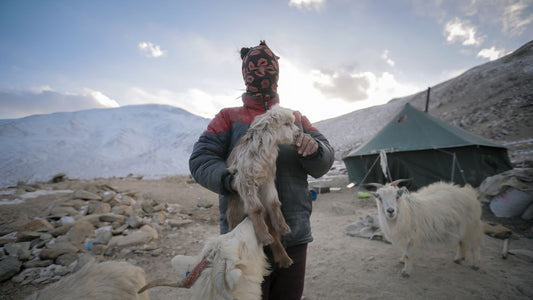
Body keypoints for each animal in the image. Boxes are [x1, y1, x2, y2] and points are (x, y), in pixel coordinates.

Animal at [225, 105, 302, 268]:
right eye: (286, 124)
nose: (299, 133)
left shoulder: (268, 180)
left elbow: (273, 202)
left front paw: (283, 227)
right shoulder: (245, 181)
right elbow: (256, 208)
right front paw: (263, 236)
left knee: (275, 237)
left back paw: (285, 259)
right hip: (234, 212)